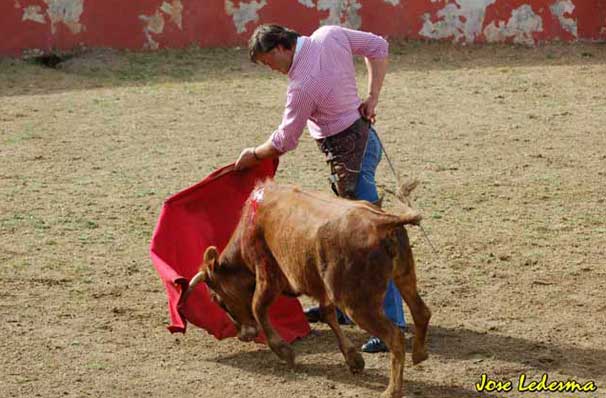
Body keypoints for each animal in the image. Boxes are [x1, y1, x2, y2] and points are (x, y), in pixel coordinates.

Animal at [185, 181, 432, 398]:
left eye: (217, 298)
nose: (243, 335)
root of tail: (381, 221)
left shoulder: (267, 273)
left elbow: (258, 307)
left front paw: (285, 352)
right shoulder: (321, 288)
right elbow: (327, 313)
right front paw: (353, 359)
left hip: (357, 304)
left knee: (395, 336)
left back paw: (392, 390)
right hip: (403, 276)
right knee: (421, 312)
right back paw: (419, 354)